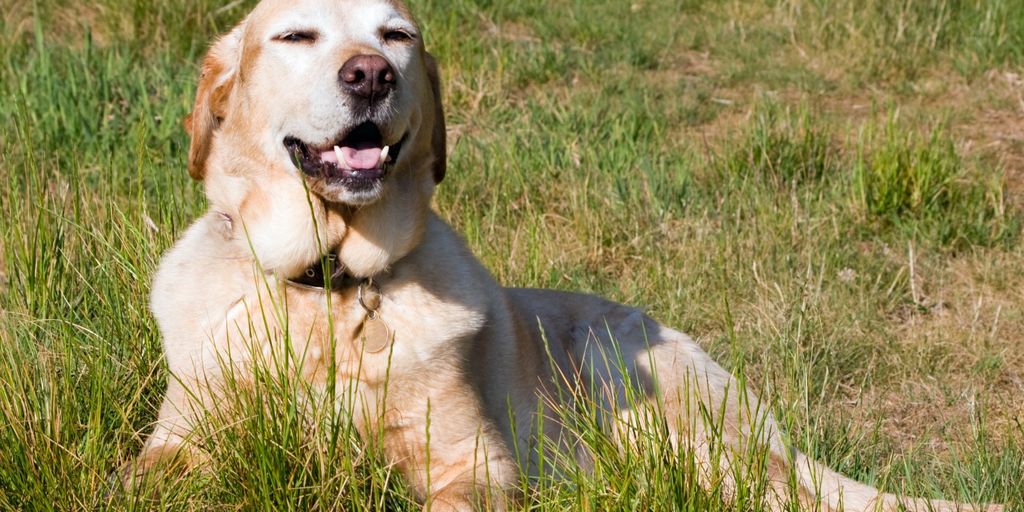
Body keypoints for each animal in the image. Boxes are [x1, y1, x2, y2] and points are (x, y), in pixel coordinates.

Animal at [132, 2, 1003, 509]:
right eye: (295, 36)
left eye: (397, 37)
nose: (371, 75)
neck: (332, 285)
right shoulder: (179, 442)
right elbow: (143, 479)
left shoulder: (476, 464)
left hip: (627, 378)